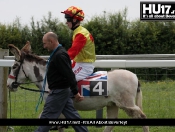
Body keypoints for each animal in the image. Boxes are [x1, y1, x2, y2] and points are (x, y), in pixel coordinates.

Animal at [6, 41, 149, 132]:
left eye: (14, 66)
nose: (8, 84)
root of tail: (134, 76)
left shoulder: (55, 104)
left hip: (127, 104)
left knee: (142, 117)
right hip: (112, 105)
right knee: (110, 124)